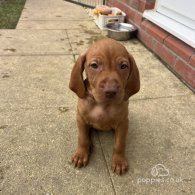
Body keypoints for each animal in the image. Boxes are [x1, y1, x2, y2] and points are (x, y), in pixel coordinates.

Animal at [69, 37, 139, 174]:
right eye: (94, 65)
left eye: (123, 66)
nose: (110, 91)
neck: (102, 105)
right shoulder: (81, 119)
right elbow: (82, 138)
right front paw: (81, 154)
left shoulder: (123, 123)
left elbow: (119, 143)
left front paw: (119, 161)